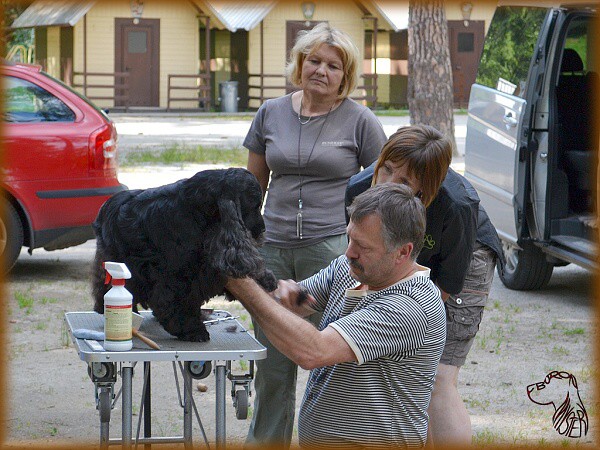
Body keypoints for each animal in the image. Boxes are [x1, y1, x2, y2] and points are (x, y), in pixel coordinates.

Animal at [92, 168, 278, 342]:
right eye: (256, 205)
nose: (262, 229)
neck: (197, 211)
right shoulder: (178, 275)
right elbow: (178, 303)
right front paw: (193, 330)